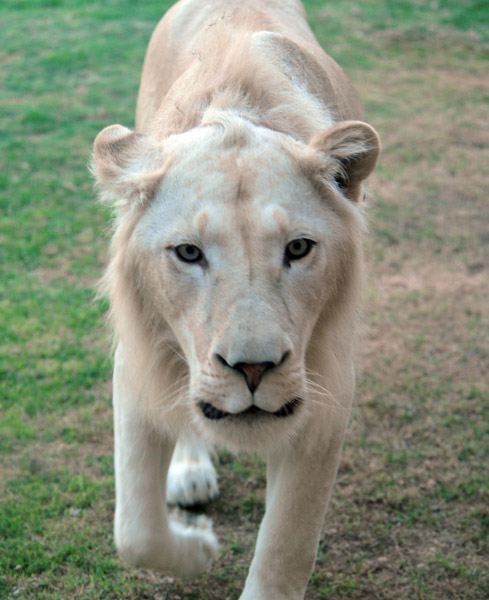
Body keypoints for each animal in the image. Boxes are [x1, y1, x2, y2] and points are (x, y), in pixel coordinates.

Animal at [92, 2, 382, 596]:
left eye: (298, 248)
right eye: (188, 252)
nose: (253, 369)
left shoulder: (328, 395)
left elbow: (285, 548)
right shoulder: (134, 361)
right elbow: (135, 531)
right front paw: (199, 549)